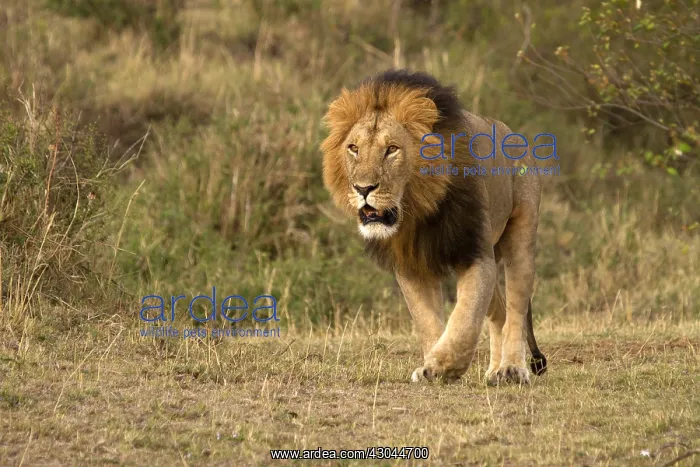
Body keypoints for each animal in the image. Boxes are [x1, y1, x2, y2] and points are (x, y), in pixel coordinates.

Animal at [320, 69, 548, 385]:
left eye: (392, 150)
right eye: (353, 149)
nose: (362, 188)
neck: (418, 212)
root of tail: (513, 134)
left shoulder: (475, 254)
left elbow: (465, 315)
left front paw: (445, 365)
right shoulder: (411, 265)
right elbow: (426, 319)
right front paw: (432, 367)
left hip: (520, 237)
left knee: (515, 307)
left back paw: (511, 368)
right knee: (500, 310)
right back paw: (493, 370)